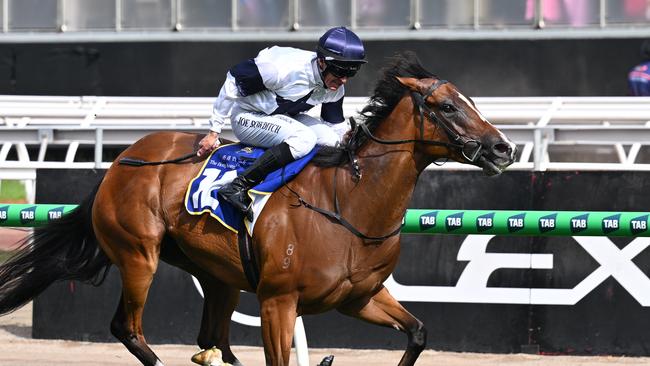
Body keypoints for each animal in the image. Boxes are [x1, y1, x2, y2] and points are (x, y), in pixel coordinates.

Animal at [0, 51, 512, 366]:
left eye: (470, 101)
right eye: (447, 106)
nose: (502, 148)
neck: (349, 204)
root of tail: (121, 161)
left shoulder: (360, 297)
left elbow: (418, 333)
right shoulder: (278, 302)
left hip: (217, 276)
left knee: (212, 342)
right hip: (138, 254)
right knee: (128, 328)